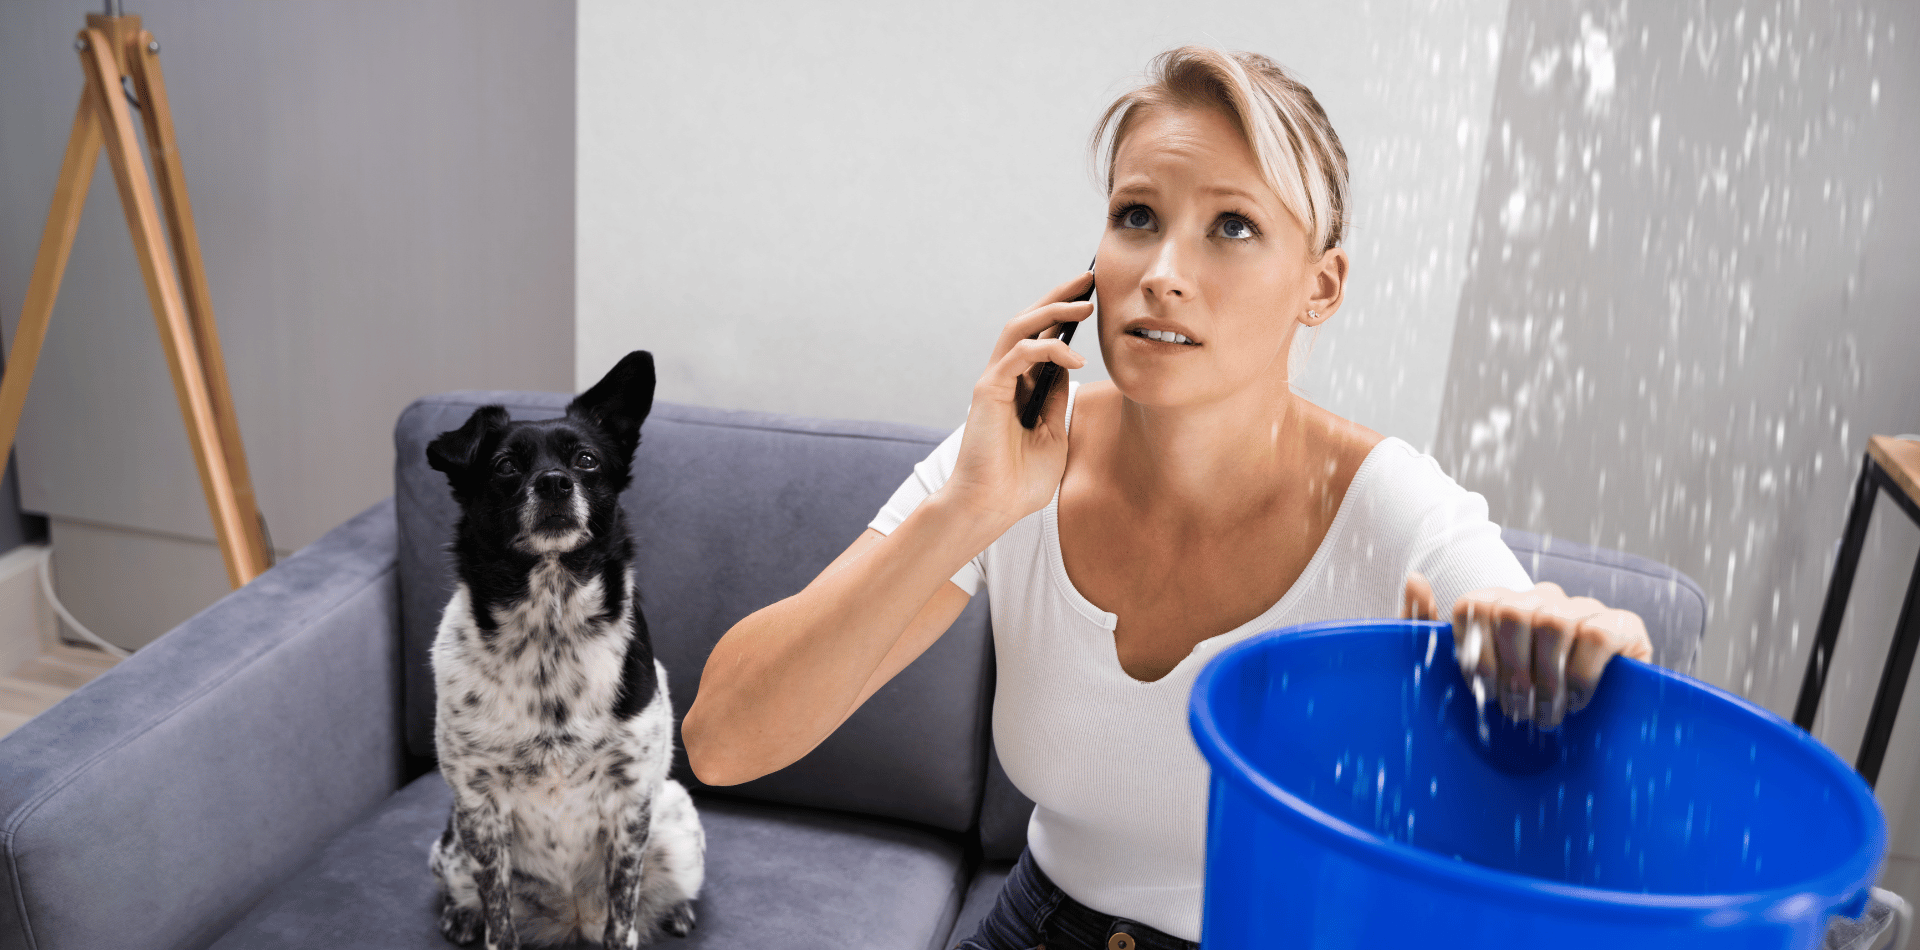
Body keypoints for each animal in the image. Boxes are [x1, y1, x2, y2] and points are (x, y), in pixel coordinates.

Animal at [424, 353, 702, 948]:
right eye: (506, 465)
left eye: (587, 460)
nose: (554, 483)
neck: (549, 632)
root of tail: (571, 918)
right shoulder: (479, 808)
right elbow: (498, 916)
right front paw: (483, 921)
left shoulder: (630, 804)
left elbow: (624, 916)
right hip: (451, 847)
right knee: (464, 890)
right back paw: (461, 915)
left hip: (676, 823)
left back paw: (676, 911)